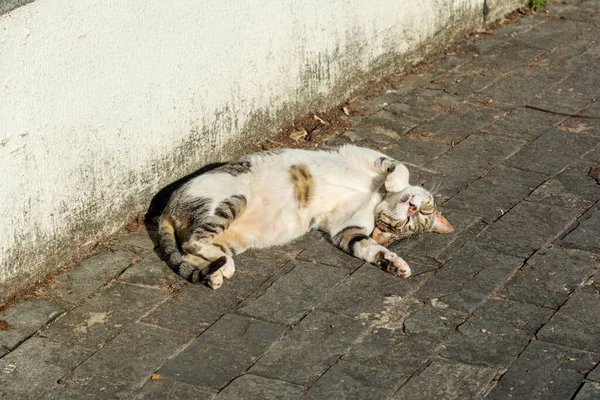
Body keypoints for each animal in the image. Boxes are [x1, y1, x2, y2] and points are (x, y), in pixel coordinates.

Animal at [157, 145, 452, 290]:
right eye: (423, 212)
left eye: (408, 224)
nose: (412, 207)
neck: (374, 197)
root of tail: (167, 207)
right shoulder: (362, 153)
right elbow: (400, 166)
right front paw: (394, 183)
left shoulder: (346, 229)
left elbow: (369, 248)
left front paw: (395, 264)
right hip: (232, 199)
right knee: (193, 242)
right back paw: (223, 269)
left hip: (231, 239)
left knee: (191, 252)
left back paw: (216, 273)